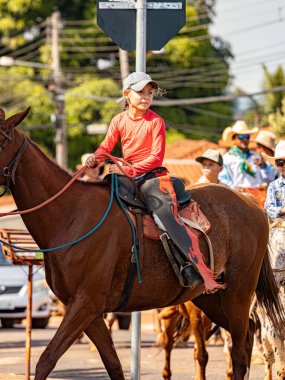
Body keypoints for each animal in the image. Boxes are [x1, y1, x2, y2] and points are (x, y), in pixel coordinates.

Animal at [0, 107, 284, 380]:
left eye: (1, 141)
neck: (71, 216)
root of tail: (251, 204)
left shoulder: (85, 304)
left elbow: (46, 360)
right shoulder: (88, 310)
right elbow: (113, 364)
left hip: (238, 294)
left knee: (239, 354)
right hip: (210, 298)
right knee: (246, 339)